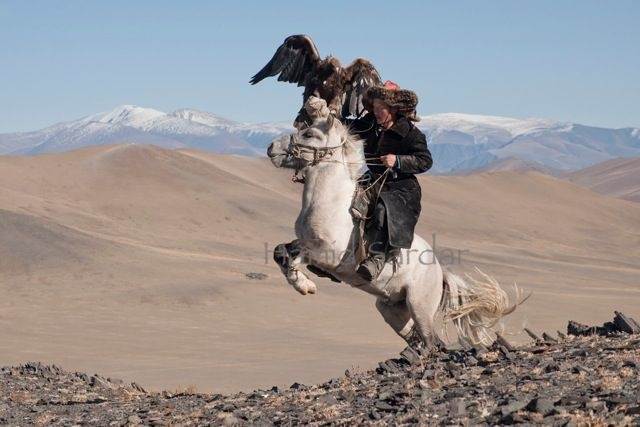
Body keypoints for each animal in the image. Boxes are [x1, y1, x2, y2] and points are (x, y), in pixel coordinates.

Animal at [268, 97, 516, 352]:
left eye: (308, 134)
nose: (271, 148)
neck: (332, 201)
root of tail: (440, 272)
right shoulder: (306, 244)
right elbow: (280, 251)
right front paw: (303, 283)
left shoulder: (328, 255)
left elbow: (294, 254)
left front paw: (304, 284)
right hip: (392, 310)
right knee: (421, 338)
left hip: (419, 307)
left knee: (431, 341)